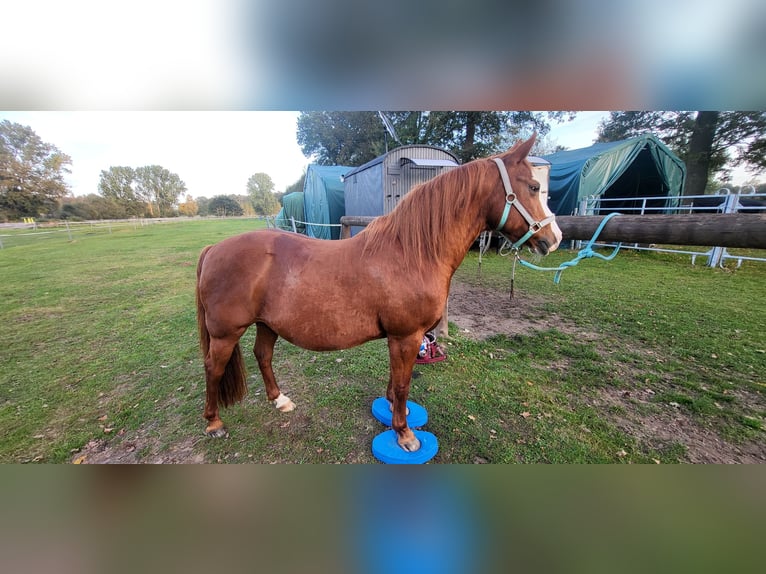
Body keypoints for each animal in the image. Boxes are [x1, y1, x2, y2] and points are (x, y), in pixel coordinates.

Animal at [195, 134, 562, 453]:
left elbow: (395, 380)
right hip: (226, 333)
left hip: (267, 324)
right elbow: (403, 384)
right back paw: (213, 424)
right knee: (213, 366)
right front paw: (405, 435)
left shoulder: (401, 338)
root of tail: (213, 250)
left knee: (263, 355)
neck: (413, 253)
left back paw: (280, 400)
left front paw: (396, 413)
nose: (554, 239)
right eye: (533, 187)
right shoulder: (407, 336)